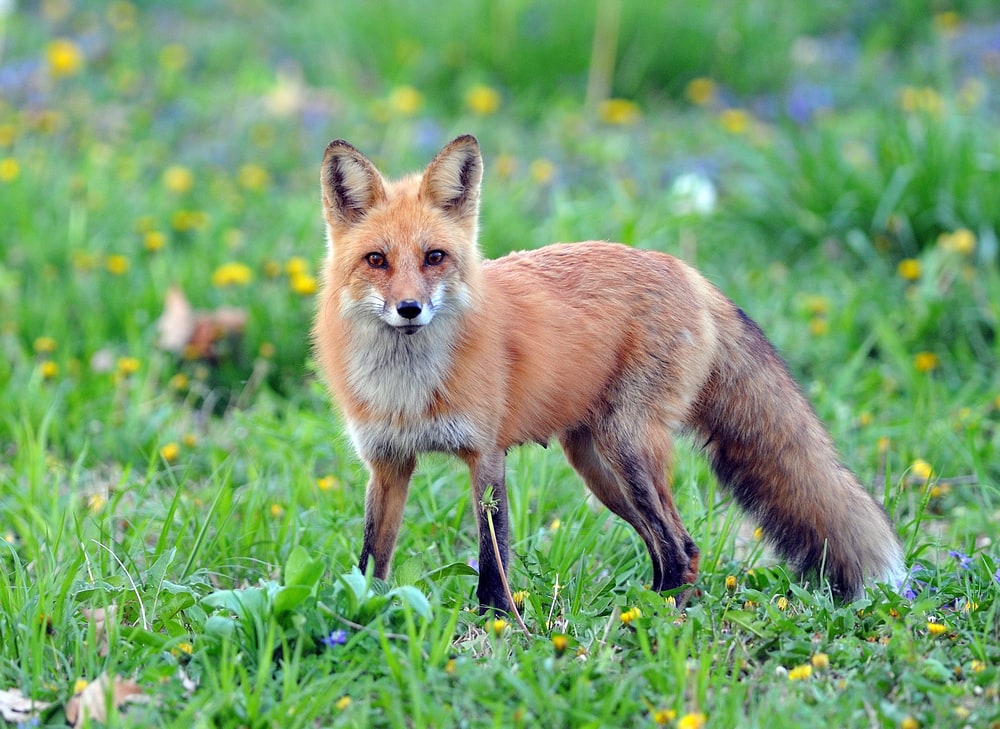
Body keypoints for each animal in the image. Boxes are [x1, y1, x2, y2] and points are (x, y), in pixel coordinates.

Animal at [313, 134, 906, 611]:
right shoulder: (387, 463)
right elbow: (371, 558)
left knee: (679, 545)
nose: (410, 309)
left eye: (434, 257)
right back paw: (652, 604)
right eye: (376, 260)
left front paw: (497, 622)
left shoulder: (486, 456)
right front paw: (358, 614)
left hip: (628, 450)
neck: (409, 391)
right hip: (599, 468)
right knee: (674, 546)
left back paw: (657, 617)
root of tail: (686, 271)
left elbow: (492, 553)